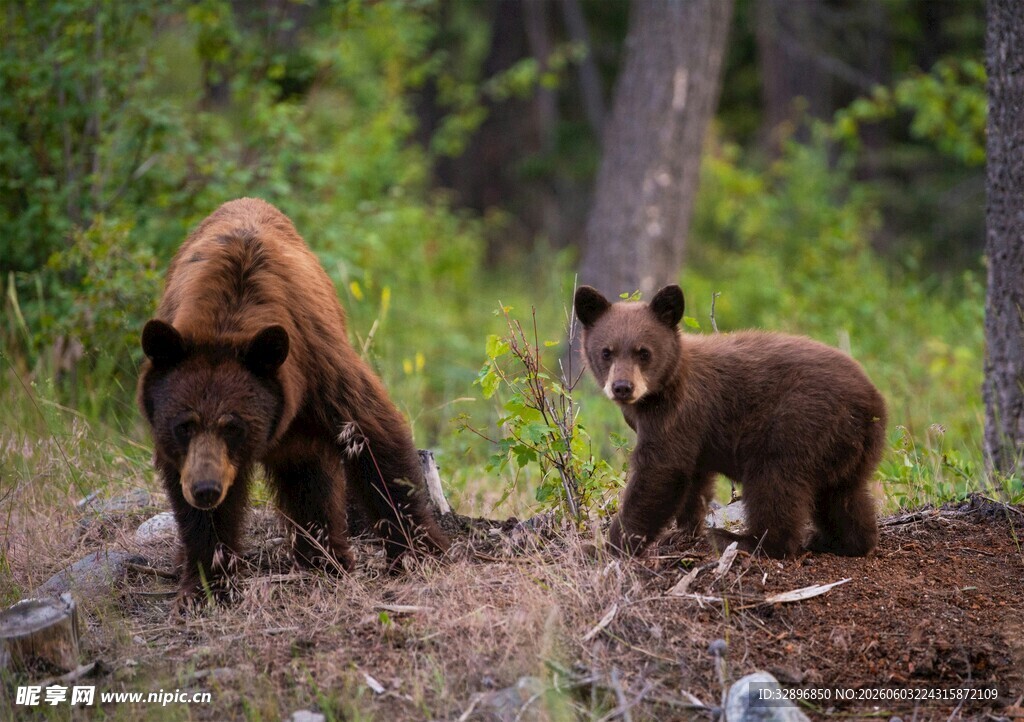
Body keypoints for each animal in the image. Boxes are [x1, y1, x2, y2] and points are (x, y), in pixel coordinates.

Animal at [138, 198, 449, 605]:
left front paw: (419, 552)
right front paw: (209, 583)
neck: (227, 320)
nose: (206, 490)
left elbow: (374, 438)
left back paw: (325, 558)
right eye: (183, 425)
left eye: (233, 426)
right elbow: (196, 511)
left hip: (302, 429)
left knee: (309, 479)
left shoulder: (318, 367)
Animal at [574, 283, 886, 559]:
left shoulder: (678, 413)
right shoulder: (692, 432)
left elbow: (660, 472)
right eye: (606, 352)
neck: (661, 388)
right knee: (843, 496)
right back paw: (839, 541)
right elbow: (694, 478)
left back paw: (745, 541)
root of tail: (871, 403)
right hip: (847, 448)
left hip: (799, 423)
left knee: (774, 483)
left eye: (643, 352)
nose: (622, 387)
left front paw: (607, 547)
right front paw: (683, 532)